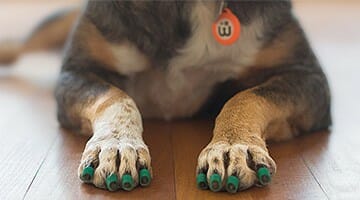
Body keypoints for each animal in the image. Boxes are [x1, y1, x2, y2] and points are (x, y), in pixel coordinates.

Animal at [0, 0, 332, 194]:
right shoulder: (77, 72)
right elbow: (116, 98)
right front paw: (118, 147)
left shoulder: (308, 77)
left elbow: (245, 97)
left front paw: (232, 148)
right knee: (22, 44)